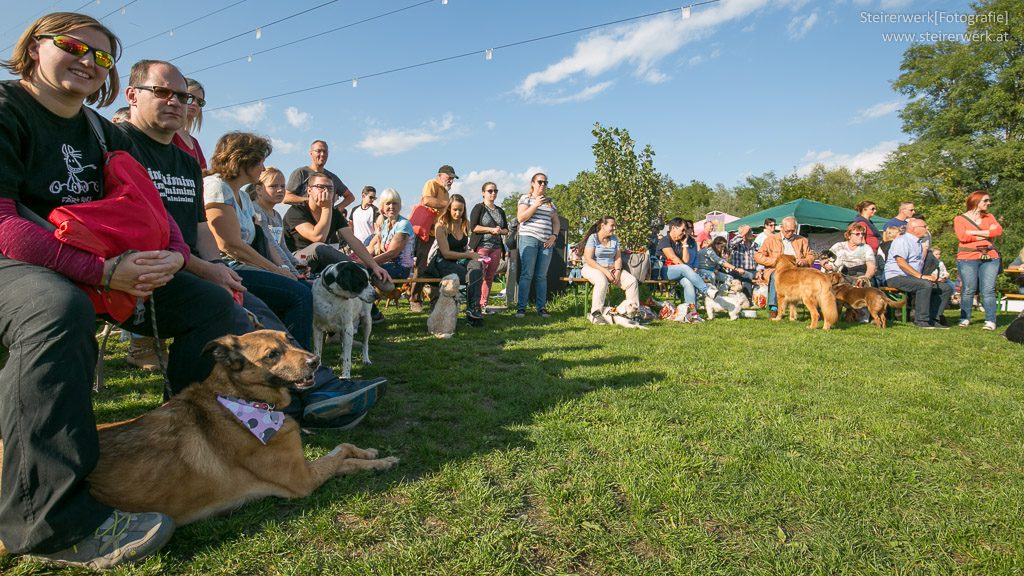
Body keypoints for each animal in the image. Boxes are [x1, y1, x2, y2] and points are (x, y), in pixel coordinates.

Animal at [0, 330, 397, 528]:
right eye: (271, 354)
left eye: (291, 341)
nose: (316, 360)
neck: (240, 399)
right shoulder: (301, 480)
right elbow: (341, 457)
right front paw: (378, 462)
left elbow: (342, 448)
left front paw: (370, 452)